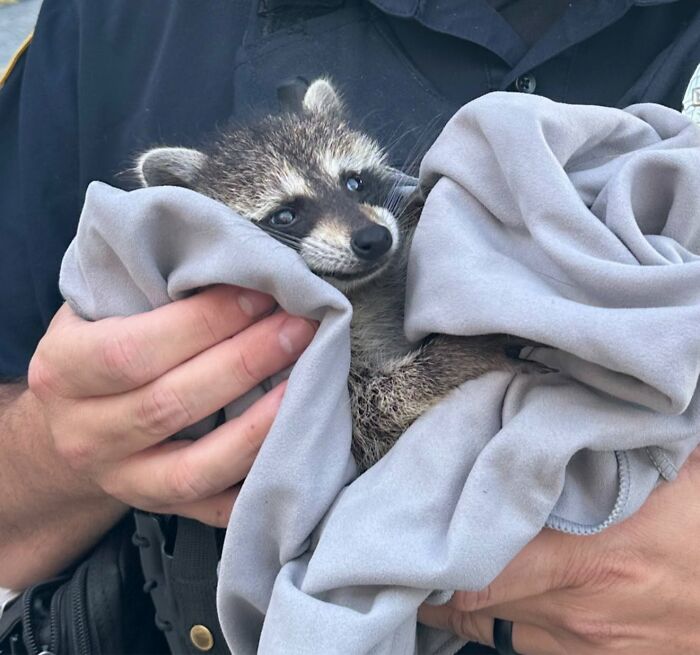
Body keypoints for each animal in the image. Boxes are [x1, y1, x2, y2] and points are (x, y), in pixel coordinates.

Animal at [136, 79, 544, 471]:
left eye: (353, 182)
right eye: (285, 215)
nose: (375, 239)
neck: (359, 293)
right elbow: (369, 415)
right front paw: (452, 360)